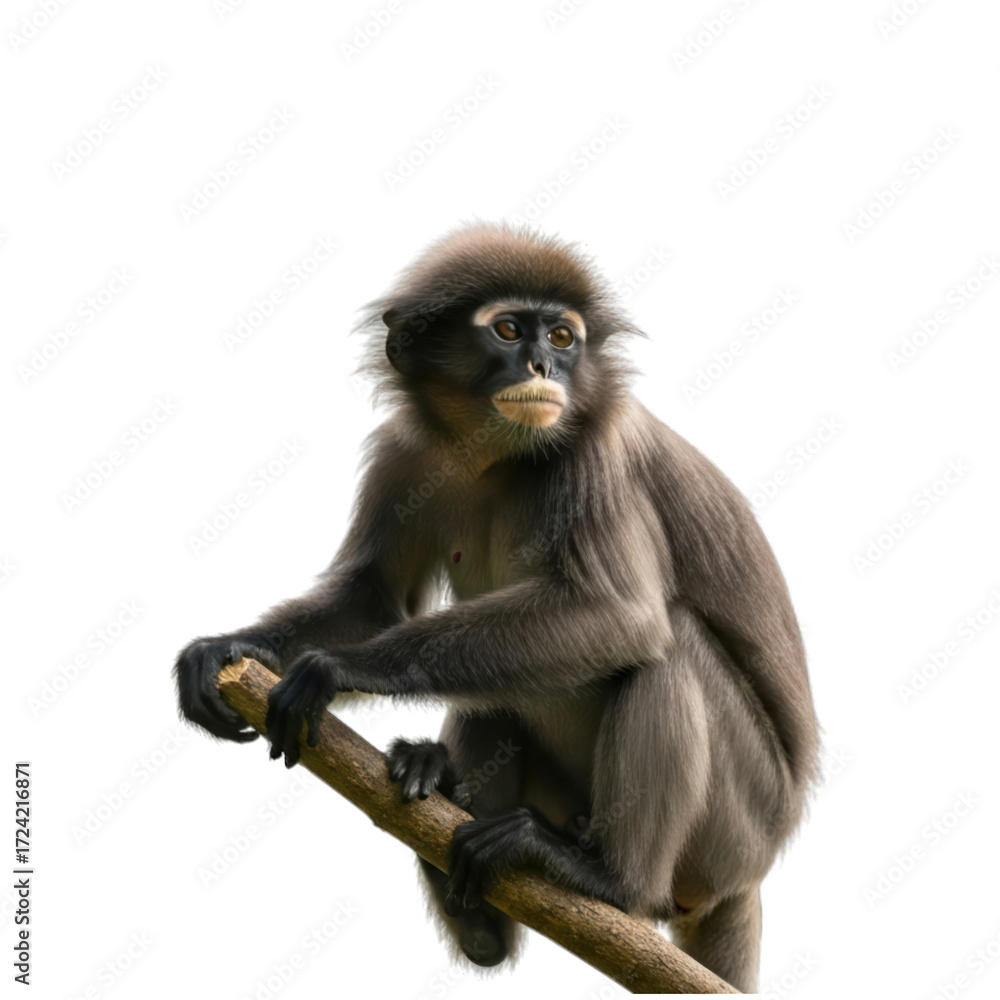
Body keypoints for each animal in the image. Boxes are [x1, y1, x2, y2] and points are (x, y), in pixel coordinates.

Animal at [174, 221, 819, 992]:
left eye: (563, 338)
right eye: (509, 329)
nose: (543, 365)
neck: (493, 456)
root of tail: (753, 876)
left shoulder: (594, 453)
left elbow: (624, 617)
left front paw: (337, 668)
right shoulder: (406, 454)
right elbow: (371, 597)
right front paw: (234, 648)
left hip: (741, 824)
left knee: (671, 647)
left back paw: (608, 882)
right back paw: (458, 860)